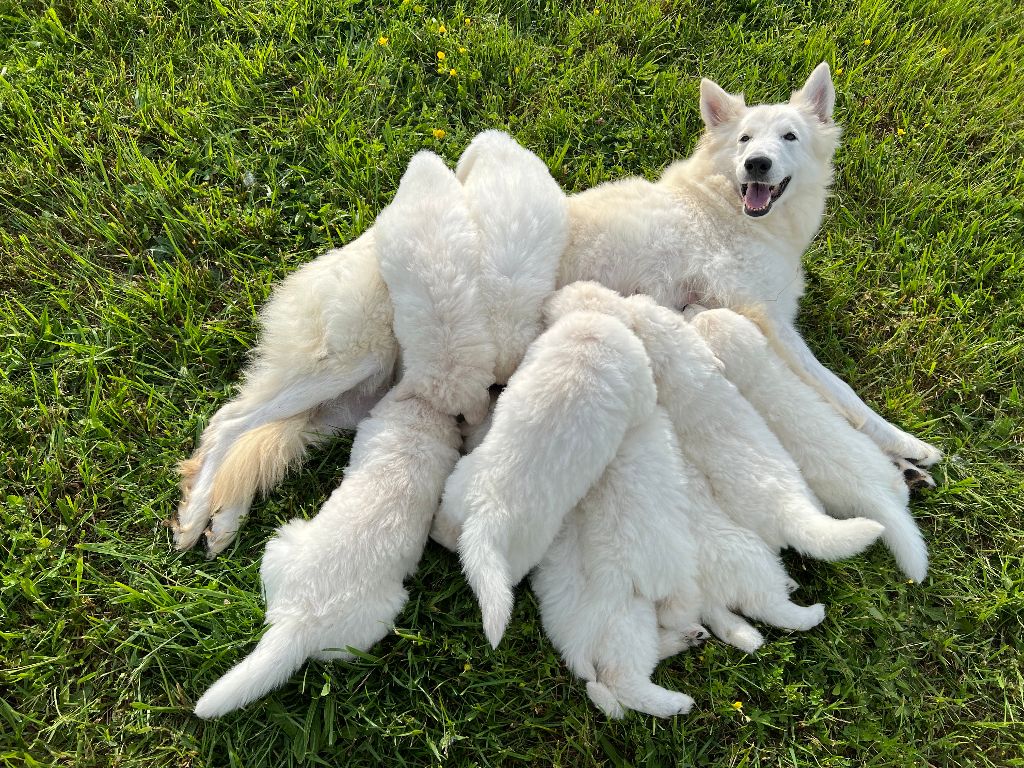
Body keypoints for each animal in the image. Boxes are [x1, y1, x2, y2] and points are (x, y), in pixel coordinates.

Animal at [432, 309, 655, 651]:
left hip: (457, 490)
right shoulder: (640, 380)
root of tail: (486, 512)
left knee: (447, 531)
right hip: (526, 546)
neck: (587, 342)